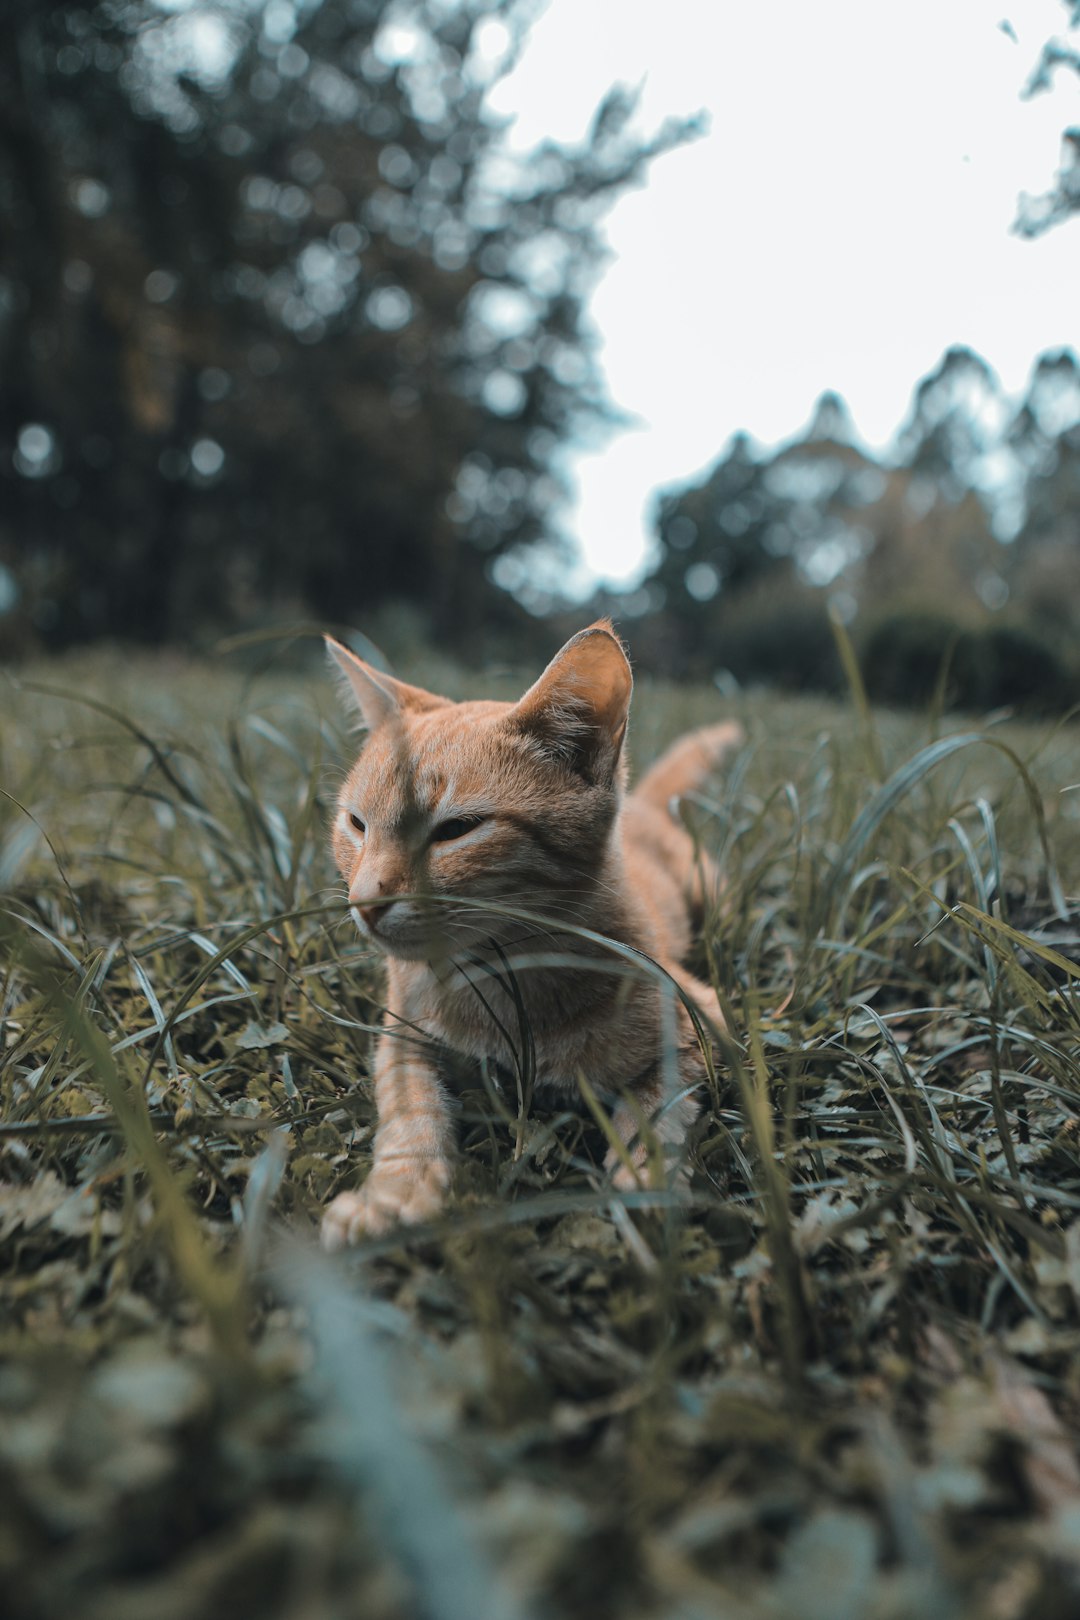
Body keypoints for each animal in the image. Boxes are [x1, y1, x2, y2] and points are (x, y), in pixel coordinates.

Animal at [320, 618, 744, 1250]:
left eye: (457, 829)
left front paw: (644, 1175)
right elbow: (408, 1107)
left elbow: (660, 1102)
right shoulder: (399, 1036)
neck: (503, 978)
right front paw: (396, 1192)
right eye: (356, 824)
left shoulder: (703, 1024)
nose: (365, 902)